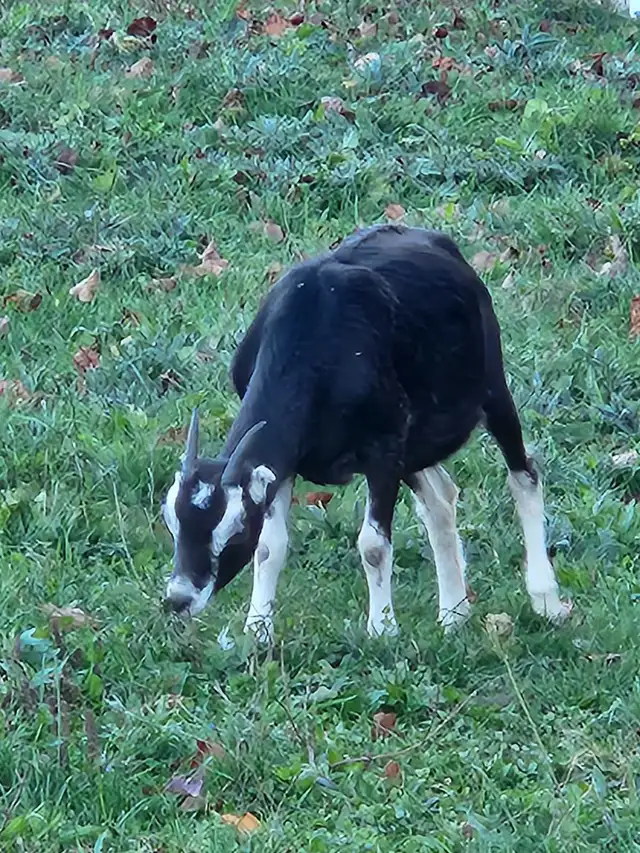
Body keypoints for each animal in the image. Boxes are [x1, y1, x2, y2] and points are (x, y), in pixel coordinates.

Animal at [161, 224, 571, 642]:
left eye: (235, 528)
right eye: (173, 523)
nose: (178, 599)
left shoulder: (383, 450)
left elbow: (373, 545)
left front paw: (382, 630)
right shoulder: (287, 462)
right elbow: (269, 547)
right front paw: (258, 631)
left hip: (491, 389)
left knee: (524, 475)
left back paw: (545, 601)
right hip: (416, 444)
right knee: (440, 500)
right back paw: (453, 614)